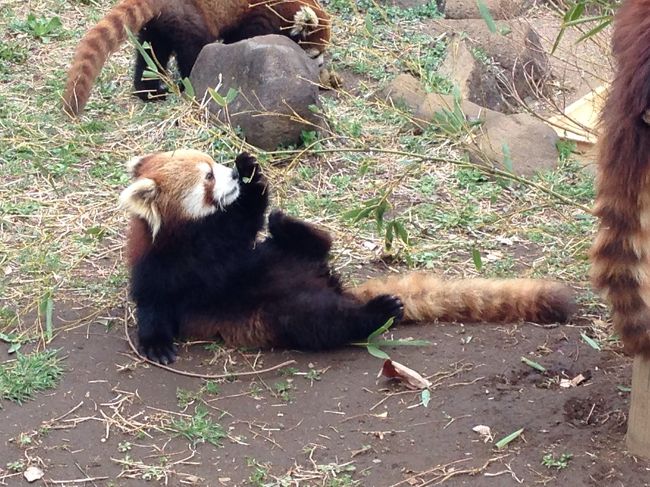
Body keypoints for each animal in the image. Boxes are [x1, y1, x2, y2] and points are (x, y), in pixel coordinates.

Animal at [119, 151, 576, 364]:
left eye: (214, 163)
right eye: (209, 176)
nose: (231, 173)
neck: (184, 235)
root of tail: (333, 287)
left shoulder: (225, 252)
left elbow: (244, 228)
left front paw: (250, 171)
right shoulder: (178, 271)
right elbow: (161, 304)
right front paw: (156, 344)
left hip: (278, 257)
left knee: (306, 243)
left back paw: (289, 224)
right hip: (281, 314)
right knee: (325, 321)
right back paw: (378, 311)